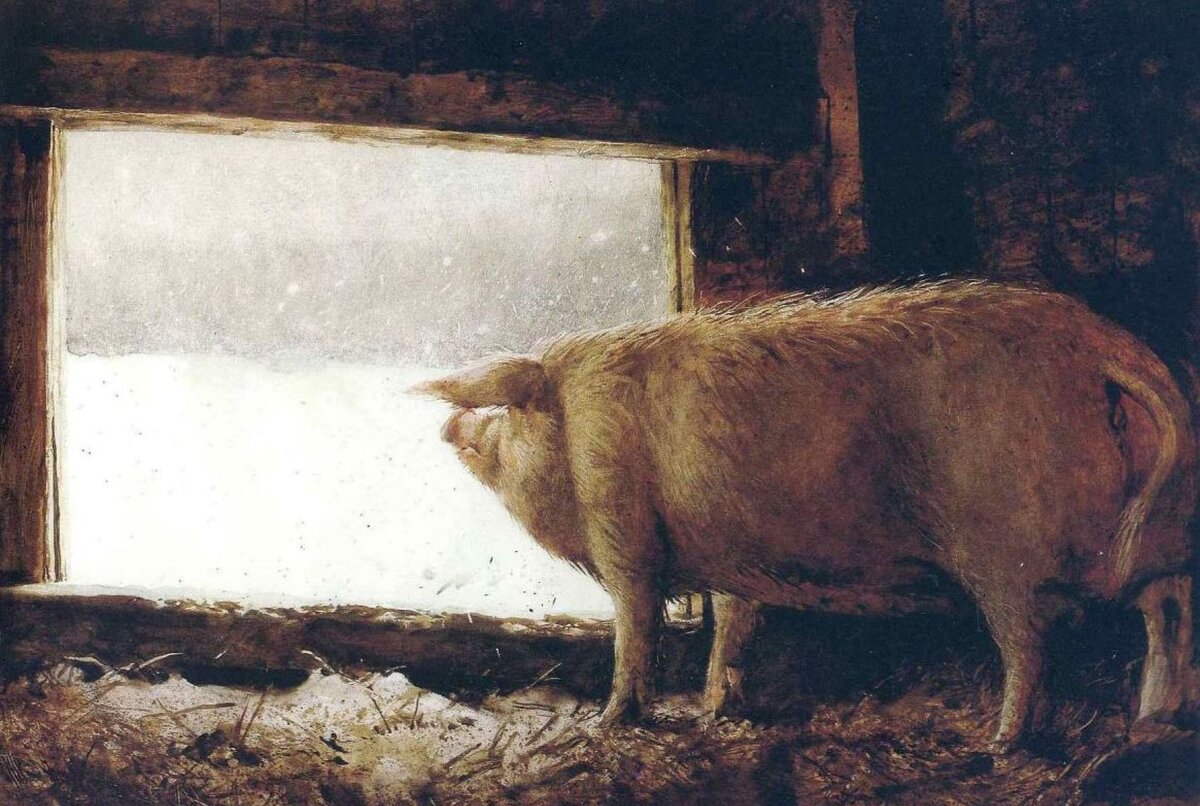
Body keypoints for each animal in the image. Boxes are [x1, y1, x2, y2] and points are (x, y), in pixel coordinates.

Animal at [415, 281, 1197, 750]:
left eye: (505, 410)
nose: (449, 426)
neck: (575, 427)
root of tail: (1104, 352)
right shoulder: (727, 556)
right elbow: (732, 624)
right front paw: (716, 709)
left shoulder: (623, 533)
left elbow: (635, 631)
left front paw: (608, 726)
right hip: (1145, 533)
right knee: (1169, 603)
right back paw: (1154, 720)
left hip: (1005, 551)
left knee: (1033, 647)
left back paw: (1000, 745)